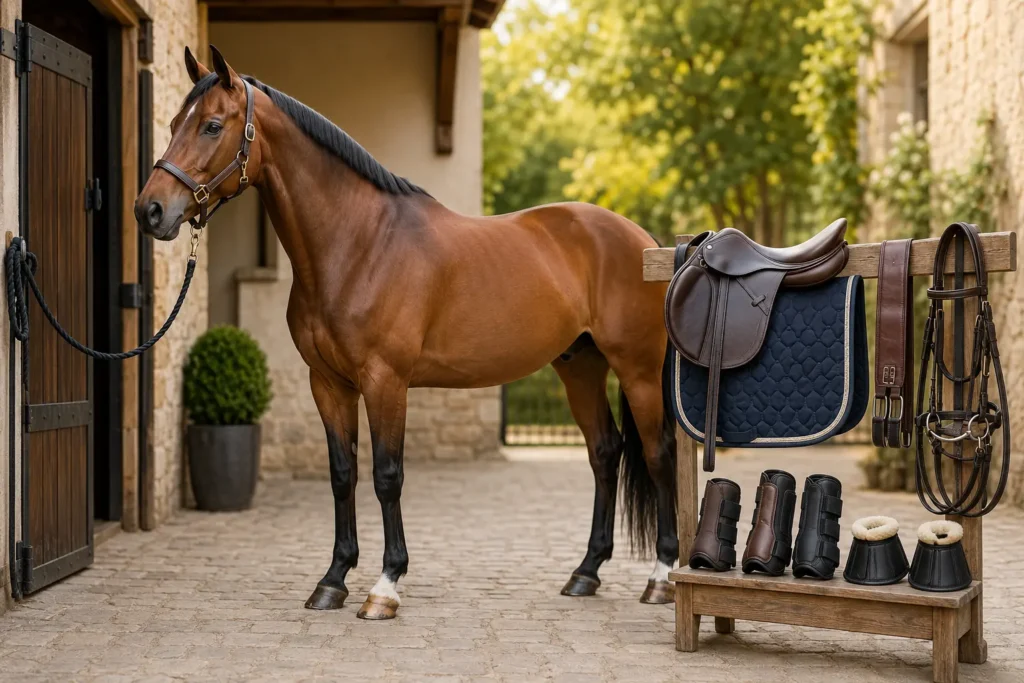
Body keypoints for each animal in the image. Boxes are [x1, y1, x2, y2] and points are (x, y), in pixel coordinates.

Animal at [135, 45, 678, 620]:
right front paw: (333, 579)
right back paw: (585, 572)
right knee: (605, 452)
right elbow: (343, 473)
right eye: (172, 123)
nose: (150, 209)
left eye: (213, 125)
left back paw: (661, 576)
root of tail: (642, 240)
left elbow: (387, 475)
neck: (358, 245)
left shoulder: (386, 381)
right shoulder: (328, 384)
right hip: (580, 367)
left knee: (658, 454)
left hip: (637, 371)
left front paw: (385, 586)